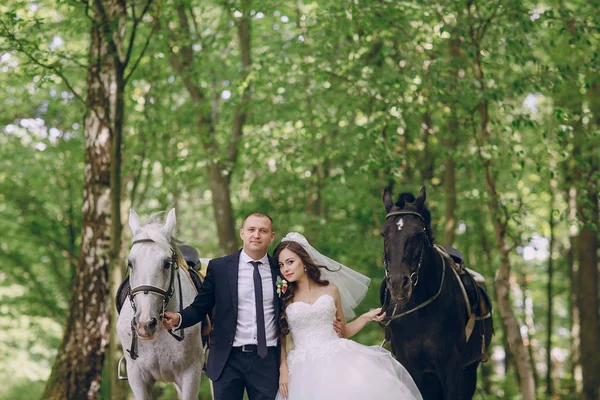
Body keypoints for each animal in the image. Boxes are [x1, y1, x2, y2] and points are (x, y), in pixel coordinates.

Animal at [380, 188, 492, 400]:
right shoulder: (410, 365)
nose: (398, 284)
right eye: (384, 234)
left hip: (468, 370)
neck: (420, 310)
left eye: (418, 233)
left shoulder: (451, 366)